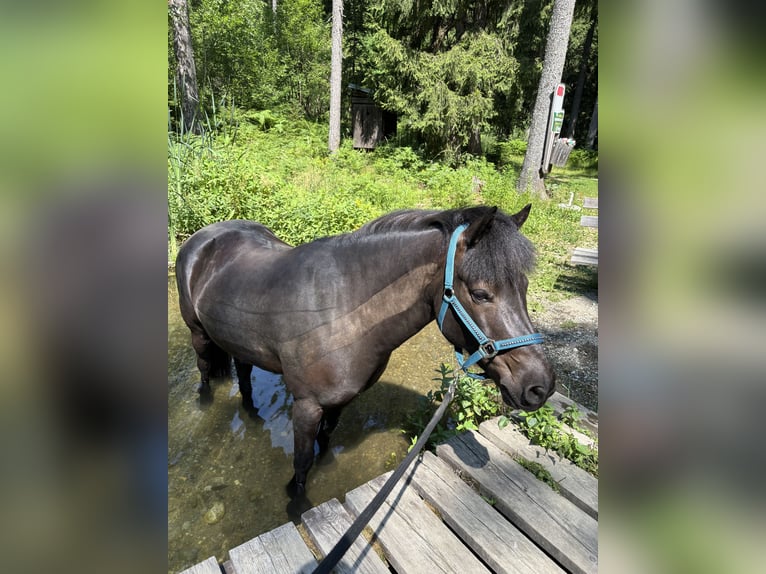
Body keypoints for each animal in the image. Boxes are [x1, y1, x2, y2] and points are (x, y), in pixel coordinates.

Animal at [175, 205, 555, 495]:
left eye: (524, 287)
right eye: (480, 293)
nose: (540, 386)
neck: (340, 309)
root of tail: (201, 237)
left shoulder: (338, 401)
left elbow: (325, 441)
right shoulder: (307, 405)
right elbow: (301, 462)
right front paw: (295, 501)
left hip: (239, 341)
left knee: (243, 373)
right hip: (198, 334)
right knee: (205, 370)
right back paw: (204, 402)